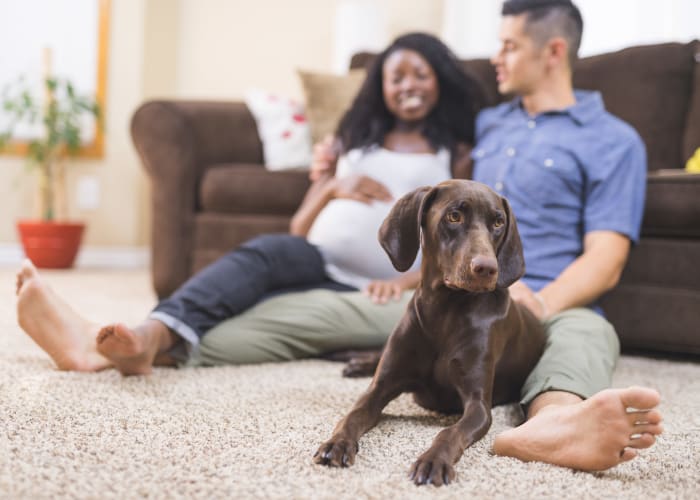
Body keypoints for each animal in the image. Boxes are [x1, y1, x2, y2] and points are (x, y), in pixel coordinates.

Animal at [314, 180, 548, 484]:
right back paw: (356, 363)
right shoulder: (380, 388)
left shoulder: (478, 406)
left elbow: (449, 432)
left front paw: (434, 460)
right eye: (454, 216)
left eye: (498, 223)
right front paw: (337, 443)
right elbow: (352, 415)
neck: (444, 311)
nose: (487, 268)